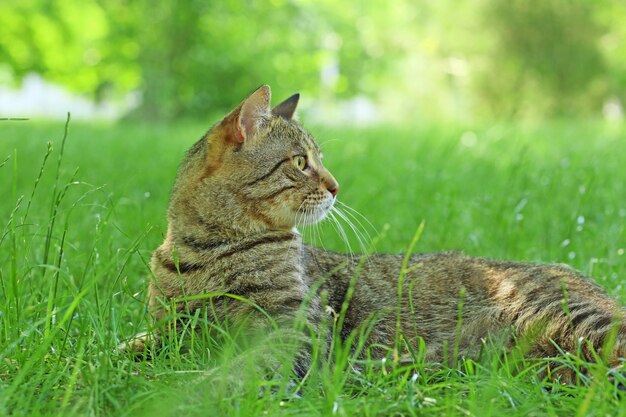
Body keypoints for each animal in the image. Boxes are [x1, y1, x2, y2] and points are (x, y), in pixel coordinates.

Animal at [122, 85, 624, 384]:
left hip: (578, 327)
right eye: (301, 162)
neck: (208, 250)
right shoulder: (172, 331)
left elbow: (237, 371)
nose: (336, 186)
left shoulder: (294, 332)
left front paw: (195, 391)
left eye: (318, 160)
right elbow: (124, 348)